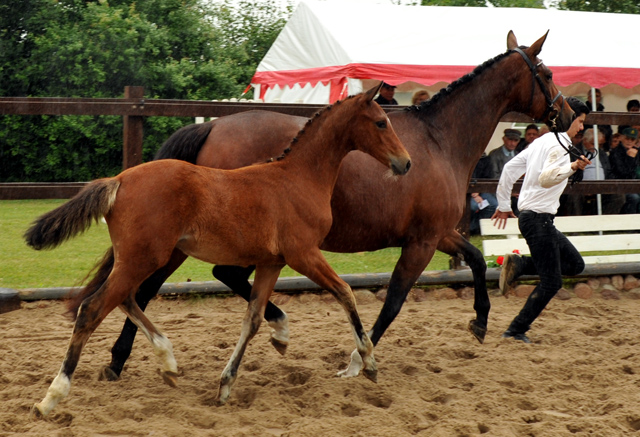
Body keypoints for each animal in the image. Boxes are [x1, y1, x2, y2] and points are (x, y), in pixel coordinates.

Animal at [25, 86, 410, 416]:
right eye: (381, 121)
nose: (405, 163)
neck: (297, 178)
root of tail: (118, 181)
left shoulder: (272, 263)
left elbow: (253, 319)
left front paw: (228, 383)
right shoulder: (304, 254)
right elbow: (345, 292)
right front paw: (367, 362)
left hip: (144, 258)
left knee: (127, 298)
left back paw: (167, 361)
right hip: (144, 258)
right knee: (94, 308)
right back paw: (52, 397)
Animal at [101, 29, 576, 378]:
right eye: (548, 72)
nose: (571, 115)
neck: (440, 140)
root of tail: (213, 126)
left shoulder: (437, 234)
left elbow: (476, 260)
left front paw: (479, 321)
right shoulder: (421, 242)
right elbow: (394, 302)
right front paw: (358, 360)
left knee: (194, 281)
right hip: (189, 241)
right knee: (158, 284)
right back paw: (125, 358)